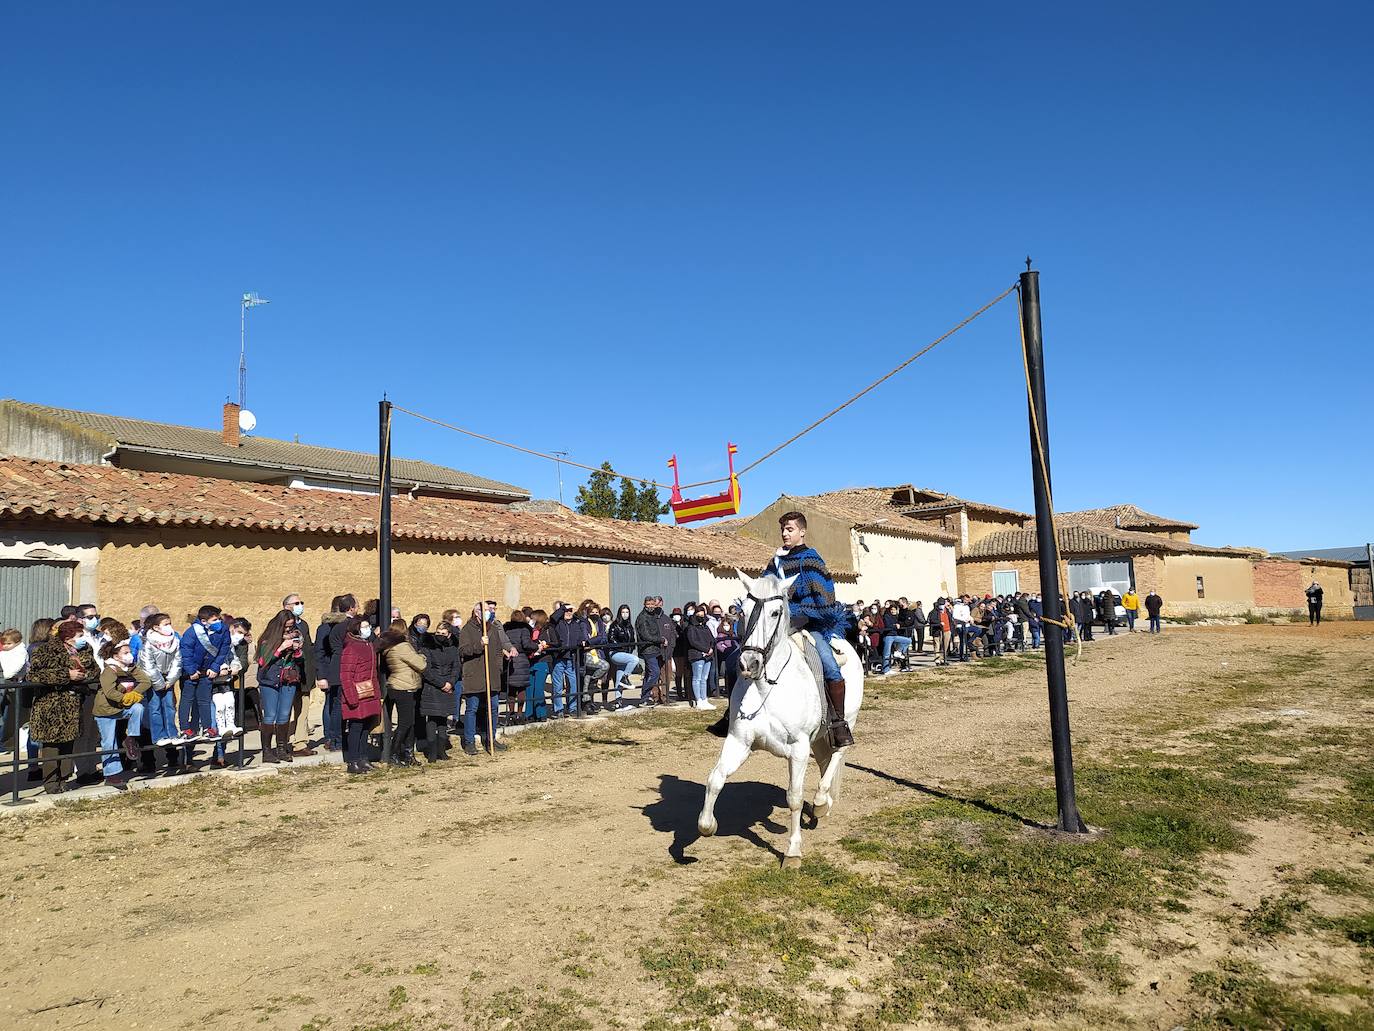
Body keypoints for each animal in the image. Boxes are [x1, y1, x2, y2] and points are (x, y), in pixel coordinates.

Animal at [697, 569, 857, 868]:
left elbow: (794, 797)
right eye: (742, 611)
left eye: (774, 612)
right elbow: (715, 778)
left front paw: (792, 851)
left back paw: (820, 800)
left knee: (838, 753)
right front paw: (707, 825)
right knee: (825, 760)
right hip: (818, 738)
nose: (748, 664)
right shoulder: (738, 741)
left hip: (846, 721)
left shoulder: (799, 748)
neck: (767, 687)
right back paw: (823, 805)